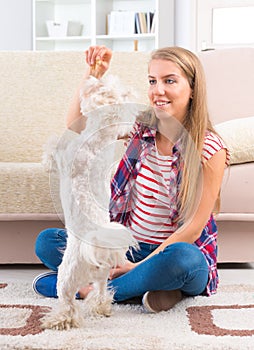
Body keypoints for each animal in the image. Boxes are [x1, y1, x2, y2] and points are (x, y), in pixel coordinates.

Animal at [42, 75, 140, 330]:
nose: (94, 76)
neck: (97, 140)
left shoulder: (65, 154)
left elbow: (54, 148)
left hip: (65, 277)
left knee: (67, 302)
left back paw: (57, 319)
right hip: (102, 276)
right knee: (101, 291)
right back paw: (102, 307)